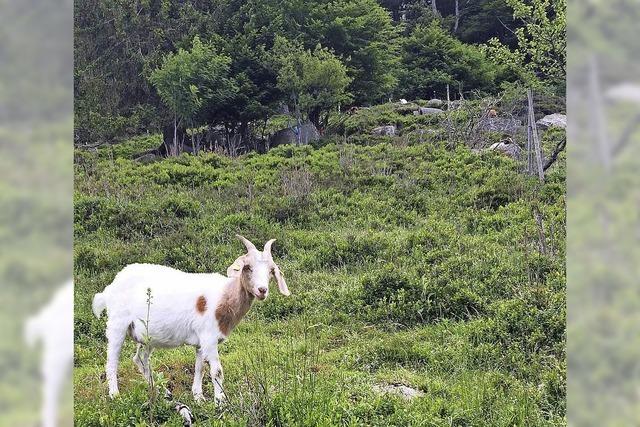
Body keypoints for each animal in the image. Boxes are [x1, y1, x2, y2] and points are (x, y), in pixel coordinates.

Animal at [90, 236, 290, 402]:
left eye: (271, 271)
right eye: (248, 268)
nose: (262, 290)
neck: (224, 296)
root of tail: (111, 287)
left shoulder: (201, 341)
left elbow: (200, 368)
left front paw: (198, 397)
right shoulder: (209, 338)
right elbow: (217, 371)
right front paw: (221, 402)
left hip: (146, 335)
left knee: (140, 359)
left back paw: (162, 392)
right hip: (117, 324)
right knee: (112, 360)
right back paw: (115, 394)